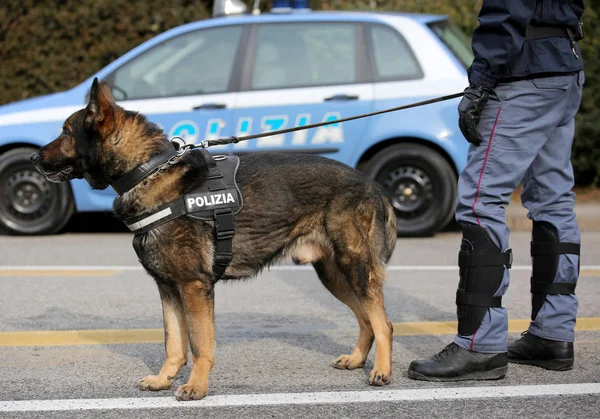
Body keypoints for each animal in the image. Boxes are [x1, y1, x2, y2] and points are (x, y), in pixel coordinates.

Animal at [31, 79, 398, 404]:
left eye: (66, 132)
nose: (33, 159)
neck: (148, 171)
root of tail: (372, 183)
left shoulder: (194, 287)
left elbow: (199, 344)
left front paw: (196, 387)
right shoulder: (168, 287)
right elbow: (174, 342)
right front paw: (164, 379)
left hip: (354, 267)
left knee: (384, 322)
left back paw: (381, 370)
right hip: (334, 275)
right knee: (367, 319)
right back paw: (357, 359)